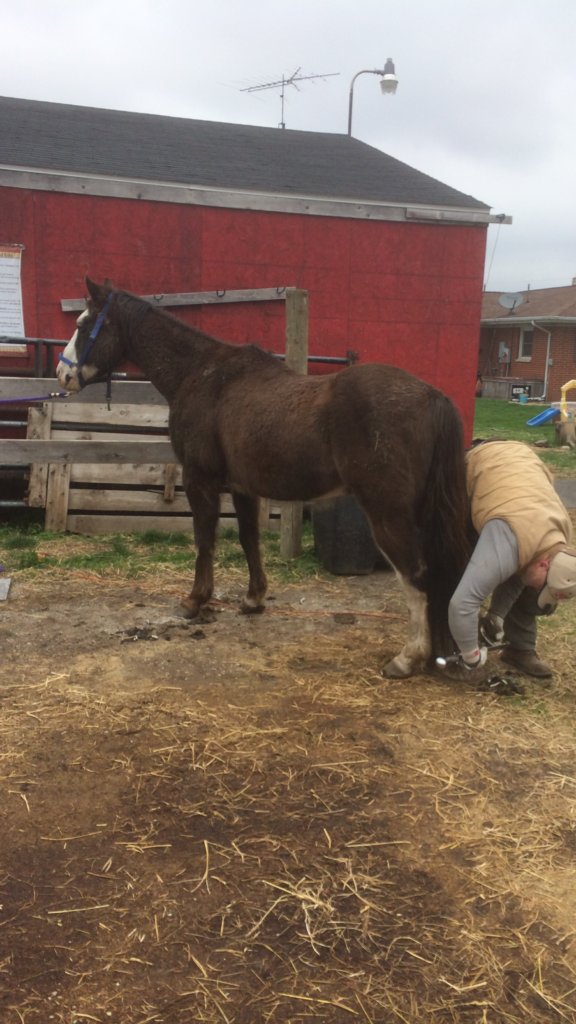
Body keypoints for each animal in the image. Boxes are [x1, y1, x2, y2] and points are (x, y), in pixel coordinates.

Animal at [57, 280, 471, 675]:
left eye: (84, 324)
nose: (63, 373)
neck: (201, 374)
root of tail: (430, 396)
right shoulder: (243, 489)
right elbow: (248, 540)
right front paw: (253, 598)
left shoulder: (200, 480)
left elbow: (204, 540)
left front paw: (195, 600)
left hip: (387, 513)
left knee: (415, 575)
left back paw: (408, 657)